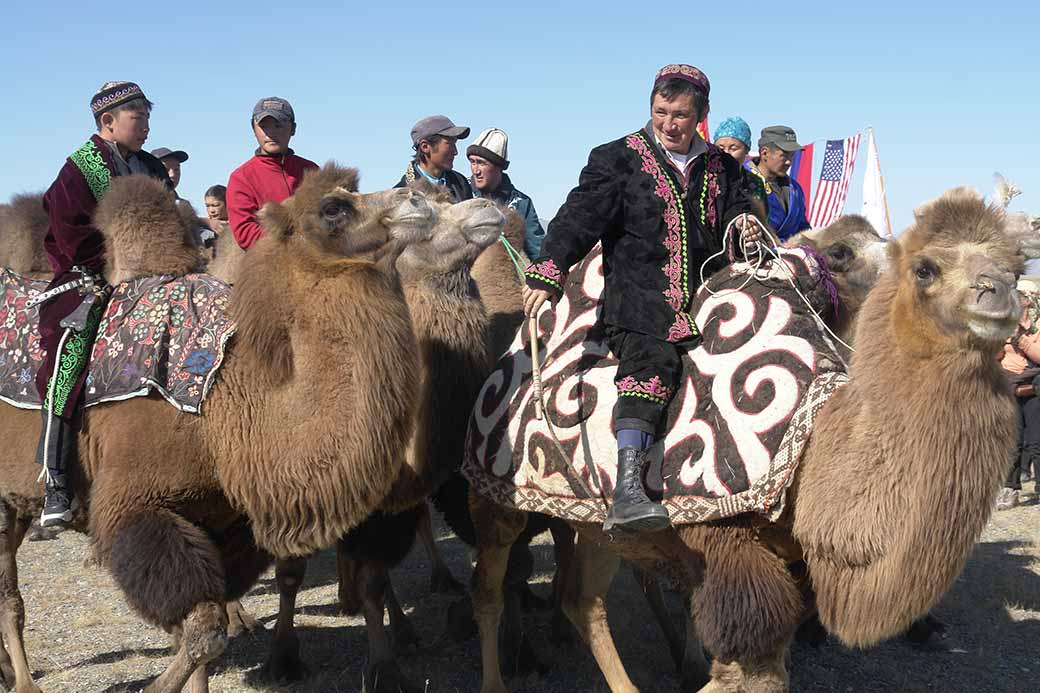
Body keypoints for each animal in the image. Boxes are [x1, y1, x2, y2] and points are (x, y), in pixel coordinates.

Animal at [0, 167, 434, 690]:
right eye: (333, 208)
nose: (419, 199)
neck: (219, 411)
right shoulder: (136, 507)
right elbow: (205, 631)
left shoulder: (225, 519)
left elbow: (202, 632)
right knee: (9, 596)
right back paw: (23, 679)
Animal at [470, 186, 1023, 686]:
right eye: (925, 268)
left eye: (1016, 264)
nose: (1002, 294)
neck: (808, 444)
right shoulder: (722, 539)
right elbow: (752, 670)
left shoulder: (793, 562)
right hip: (498, 492)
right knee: (493, 587)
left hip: (594, 518)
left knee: (583, 601)